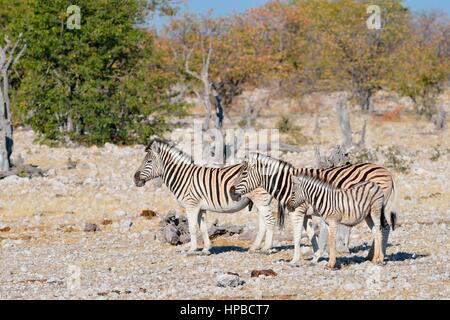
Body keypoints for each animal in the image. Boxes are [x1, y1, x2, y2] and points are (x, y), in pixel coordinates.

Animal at [132, 139, 304, 254]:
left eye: (148, 161)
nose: (135, 179)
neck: (184, 177)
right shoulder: (200, 207)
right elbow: (203, 228)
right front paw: (206, 249)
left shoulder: (191, 205)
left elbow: (192, 228)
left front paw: (191, 249)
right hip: (259, 201)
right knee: (263, 223)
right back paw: (255, 247)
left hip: (260, 200)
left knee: (270, 221)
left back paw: (267, 248)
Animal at [230, 154, 396, 264]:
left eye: (243, 173)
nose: (231, 192)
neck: (287, 184)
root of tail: (387, 172)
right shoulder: (306, 213)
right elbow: (310, 234)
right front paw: (316, 256)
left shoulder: (297, 211)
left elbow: (297, 235)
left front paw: (295, 259)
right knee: (381, 227)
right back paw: (371, 256)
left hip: (376, 207)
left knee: (383, 227)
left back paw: (380, 255)